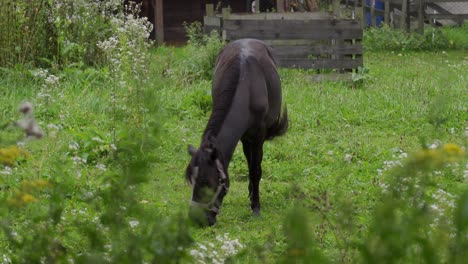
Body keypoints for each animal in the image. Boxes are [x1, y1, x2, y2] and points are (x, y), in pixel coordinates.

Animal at [185, 38, 288, 226]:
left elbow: (256, 170)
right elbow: (250, 165)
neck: (248, 86)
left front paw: (256, 207)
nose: (196, 220)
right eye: (192, 181)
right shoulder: (245, 136)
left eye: (207, 183)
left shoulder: (258, 136)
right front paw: (252, 197)